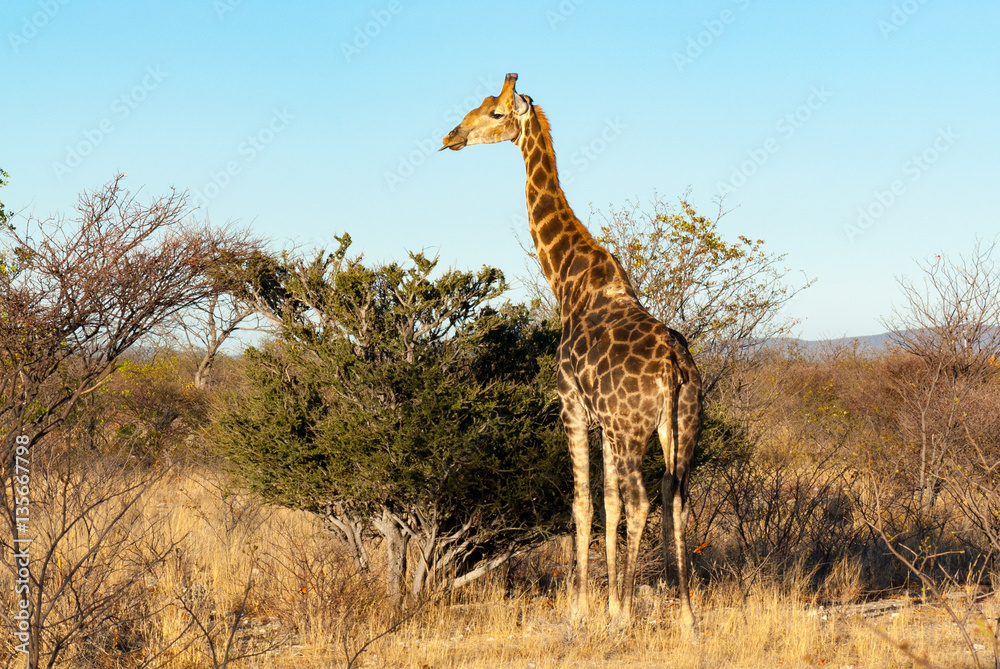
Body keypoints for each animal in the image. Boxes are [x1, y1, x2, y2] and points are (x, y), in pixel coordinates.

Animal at [441, 73, 702, 628]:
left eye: (495, 113)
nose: (451, 136)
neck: (567, 280)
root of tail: (673, 367)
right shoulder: (603, 422)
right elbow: (606, 505)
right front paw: (608, 602)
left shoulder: (573, 407)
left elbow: (583, 505)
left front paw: (587, 609)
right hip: (681, 425)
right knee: (674, 495)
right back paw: (687, 616)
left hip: (632, 428)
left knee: (642, 500)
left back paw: (627, 615)